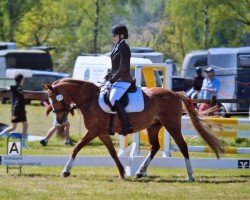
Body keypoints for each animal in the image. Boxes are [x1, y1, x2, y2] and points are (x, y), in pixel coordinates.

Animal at [43, 78, 225, 181]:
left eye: (54, 98)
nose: (60, 120)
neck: (90, 99)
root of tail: (174, 93)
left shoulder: (94, 131)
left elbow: (76, 147)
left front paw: (66, 171)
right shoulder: (102, 133)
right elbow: (112, 153)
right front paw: (123, 173)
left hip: (172, 125)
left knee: (183, 146)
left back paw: (190, 175)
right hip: (154, 126)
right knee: (154, 147)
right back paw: (139, 172)